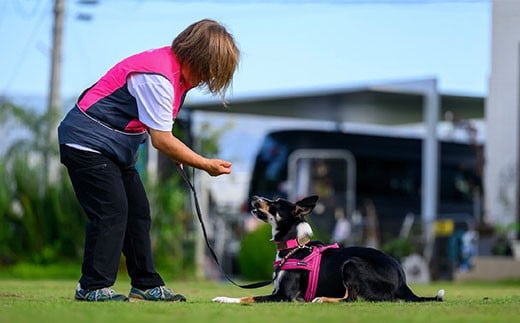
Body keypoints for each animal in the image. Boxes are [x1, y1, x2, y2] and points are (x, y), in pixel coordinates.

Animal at [213, 196, 444, 306]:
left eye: (276, 204)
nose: (254, 197)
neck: (294, 247)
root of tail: (403, 281)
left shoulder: (284, 296)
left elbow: (249, 297)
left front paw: (225, 299)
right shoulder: (277, 292)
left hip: (351, 263)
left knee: (351, 298)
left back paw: (323, 299)